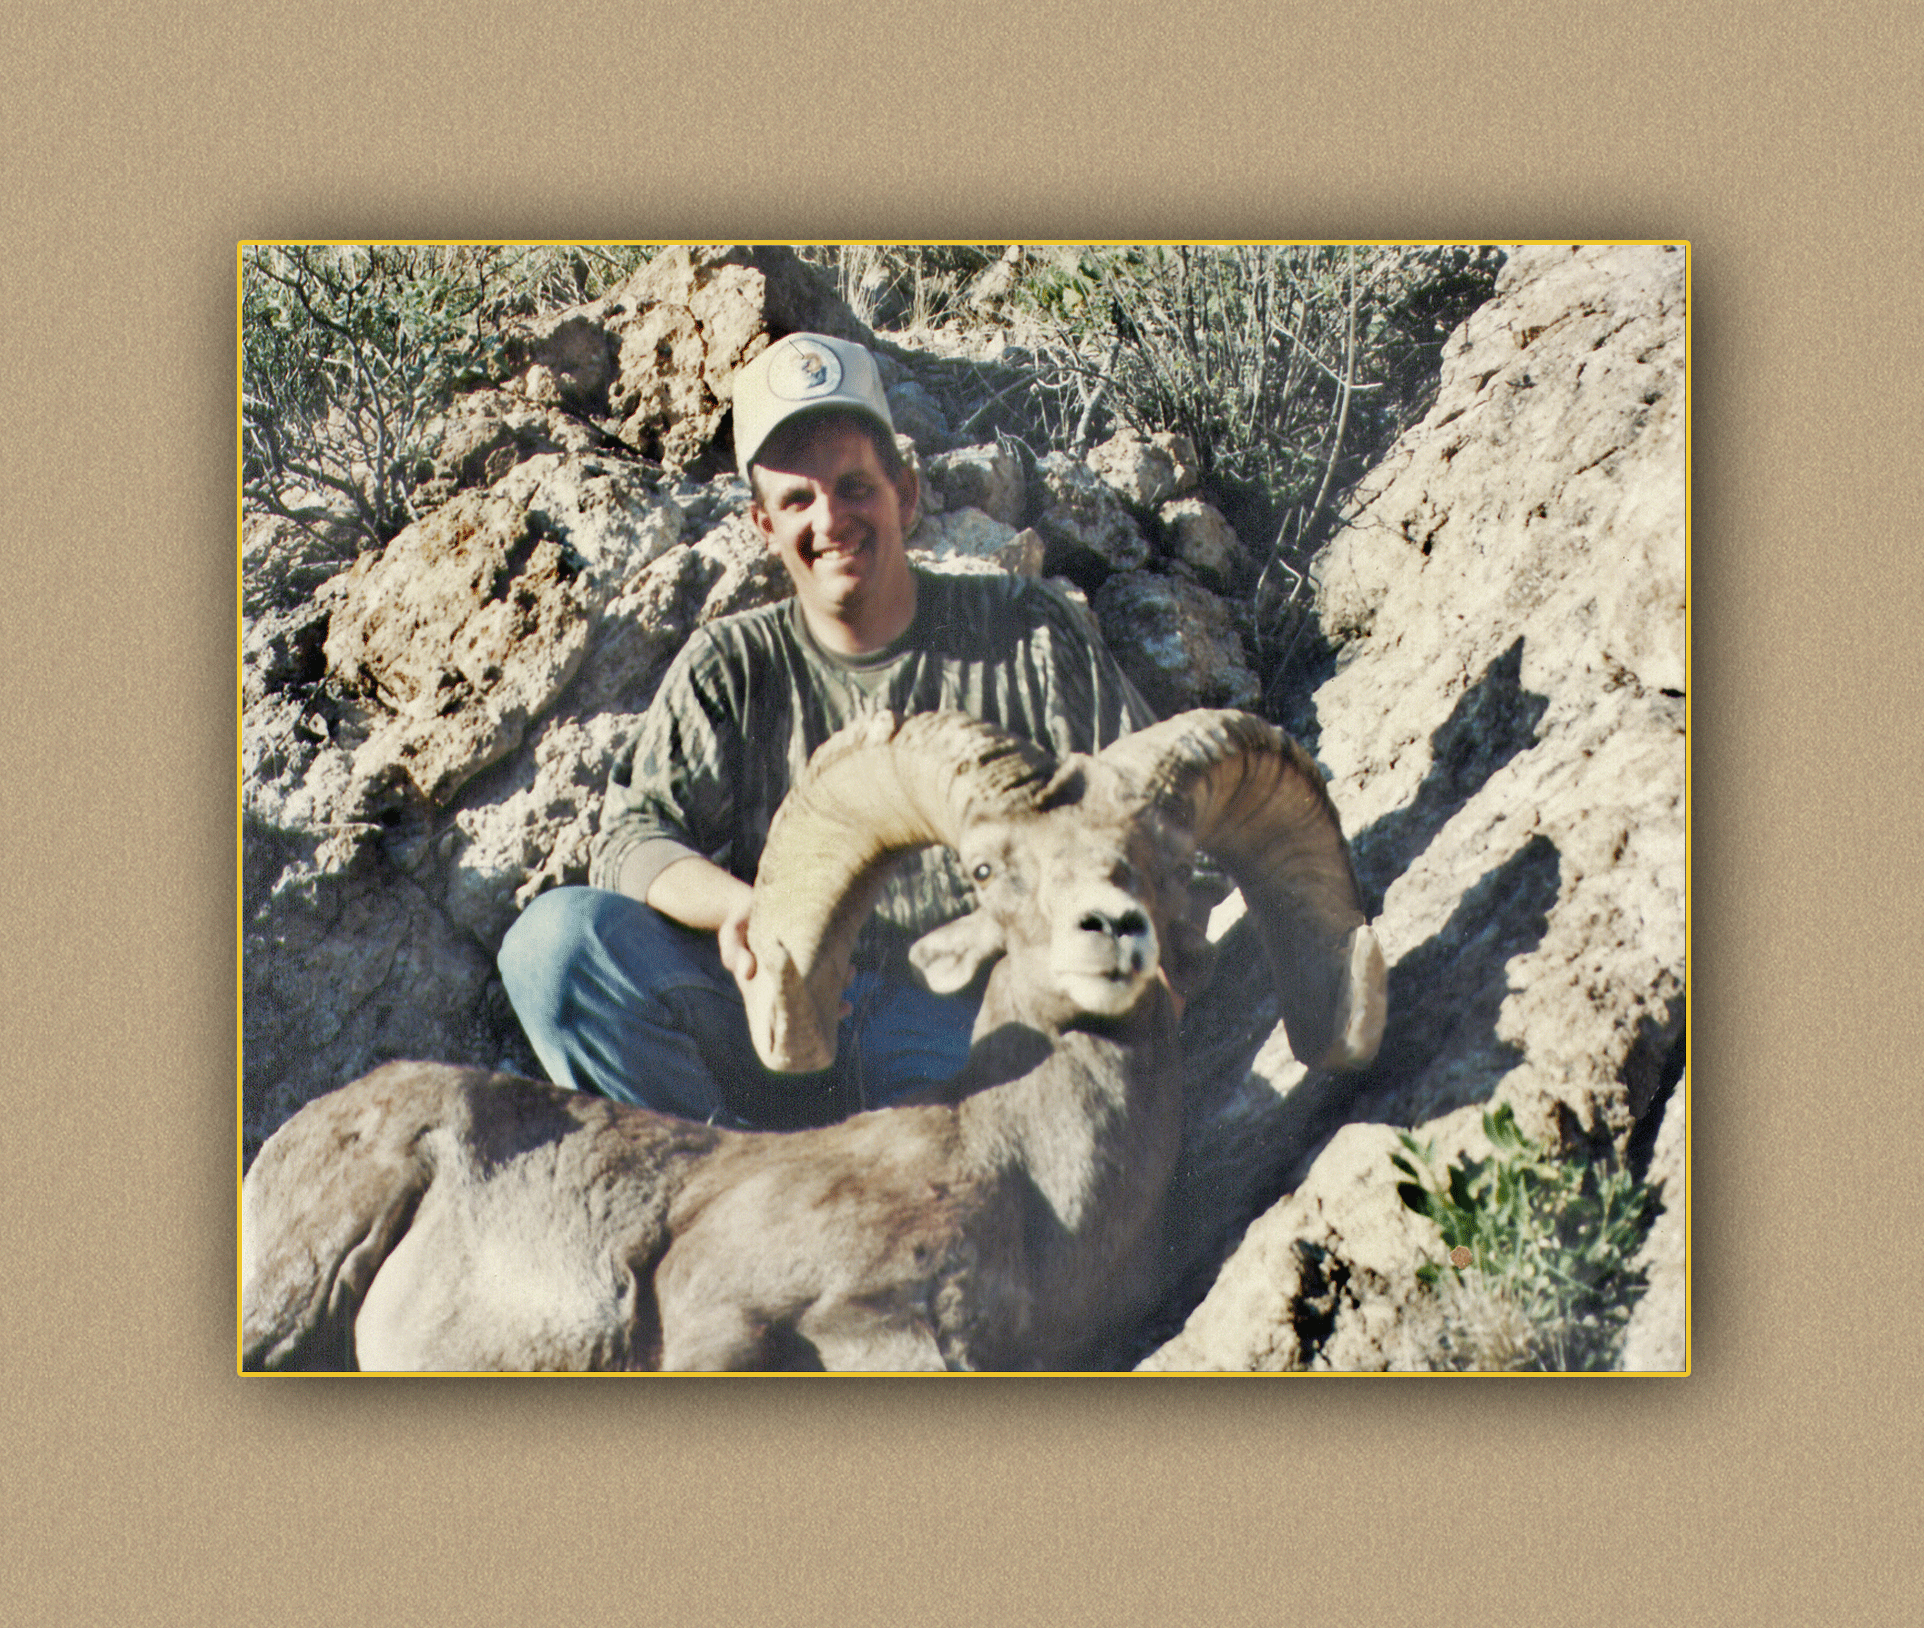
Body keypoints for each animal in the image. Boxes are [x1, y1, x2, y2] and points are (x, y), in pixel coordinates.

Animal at [241, 707, 1386, 1372]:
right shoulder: (717, 1317)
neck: (1027, 1185)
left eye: (1167, 858)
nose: (1112, 930)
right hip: (301, 1284)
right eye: (986, 869)